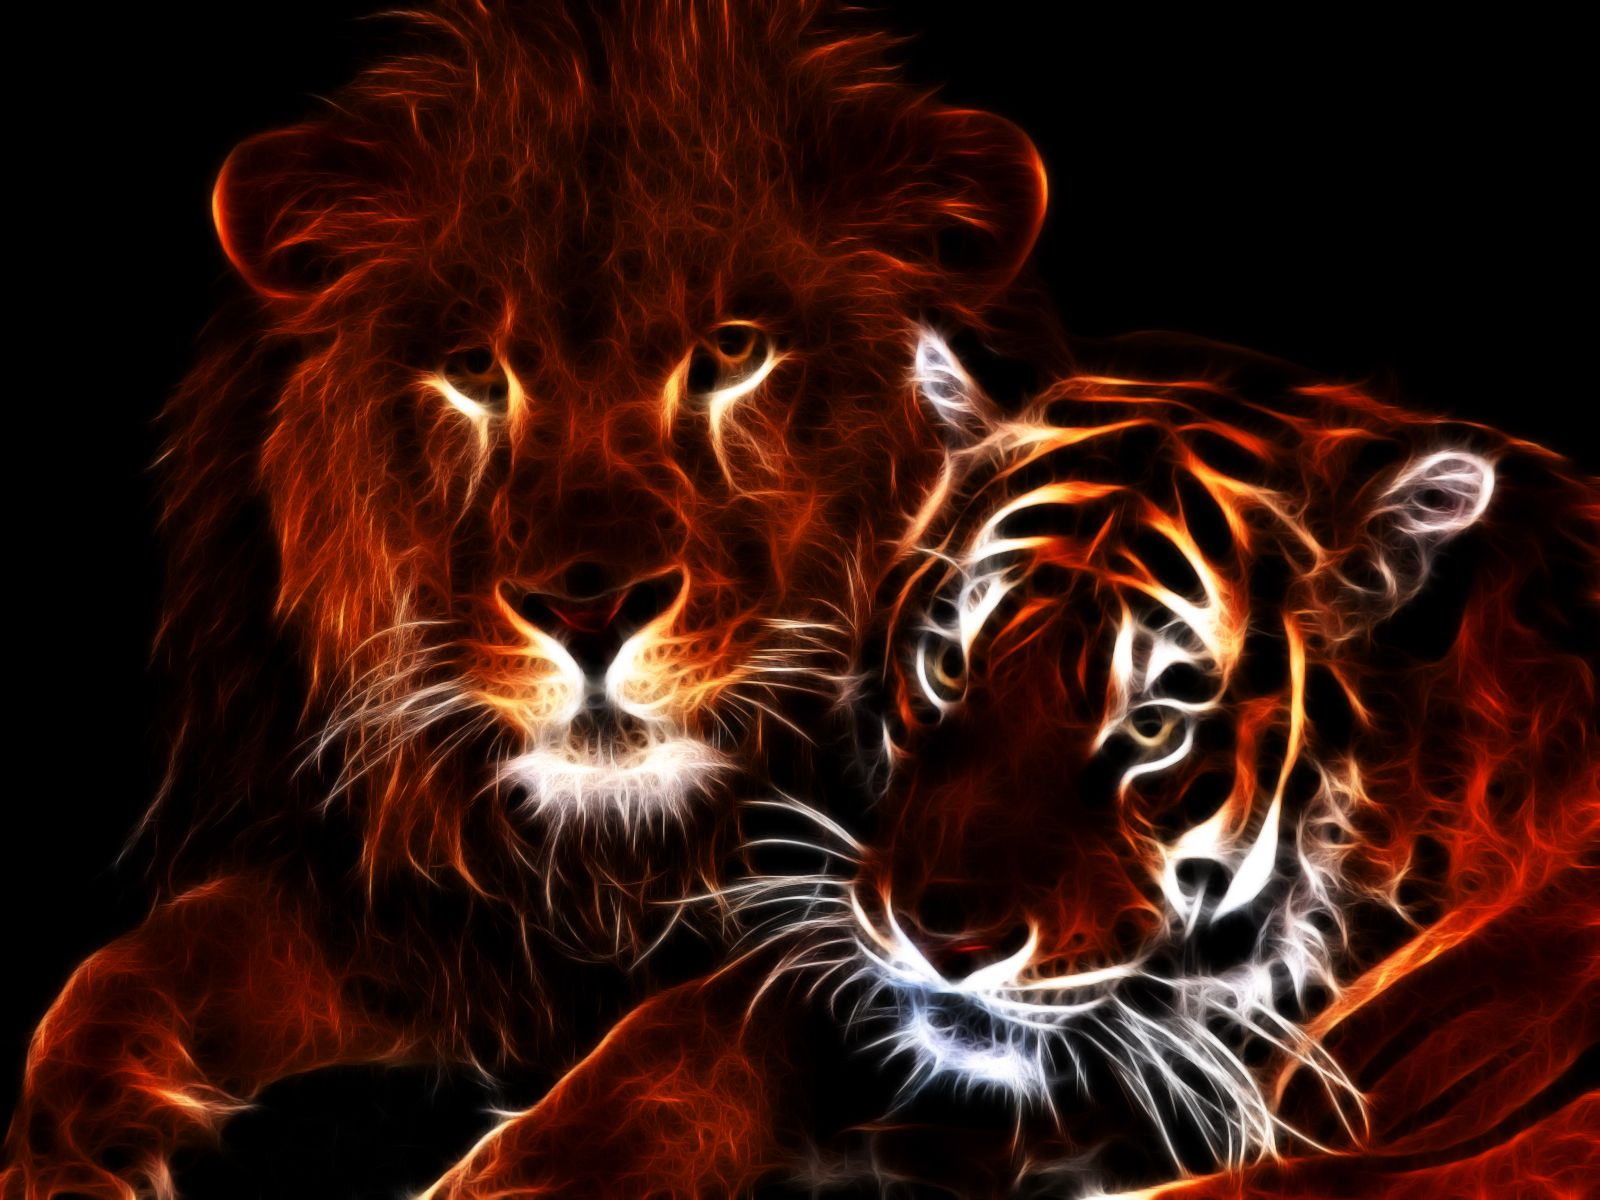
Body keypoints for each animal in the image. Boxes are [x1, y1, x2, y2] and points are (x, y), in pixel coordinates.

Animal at [0, 4, 1051, 1196]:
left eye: (734, 352)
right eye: (473, 369)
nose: (589, 614)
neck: (614, 864)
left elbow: (693, 1042)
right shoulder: (407, 914)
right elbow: (138, 964)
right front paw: (73, 1148)